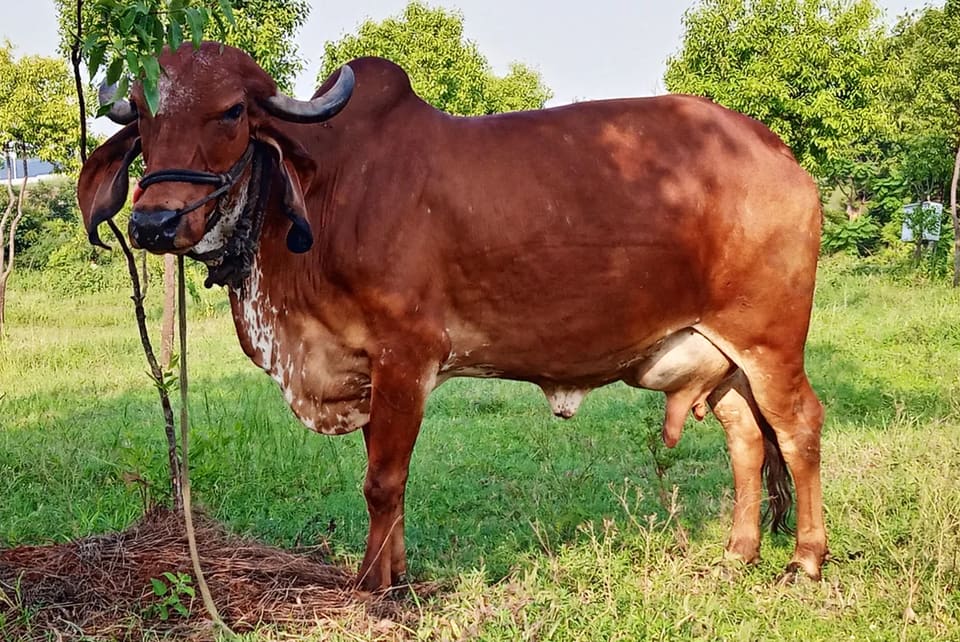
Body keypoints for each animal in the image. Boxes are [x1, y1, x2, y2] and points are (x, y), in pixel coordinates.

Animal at [78, 42, 826, 592]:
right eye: (140, 113)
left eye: (232, 111)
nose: (153, 222)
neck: (326, 196)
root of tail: (780, 155)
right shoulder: (369, 372)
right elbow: (392, 484)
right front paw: (399, 576)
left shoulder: (405, 356)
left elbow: (382, 482)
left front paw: (372, 588)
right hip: (721, 357)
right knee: (747, 439)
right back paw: (739, 552)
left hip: (769, 342)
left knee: (797, 428)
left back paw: (806, 559)